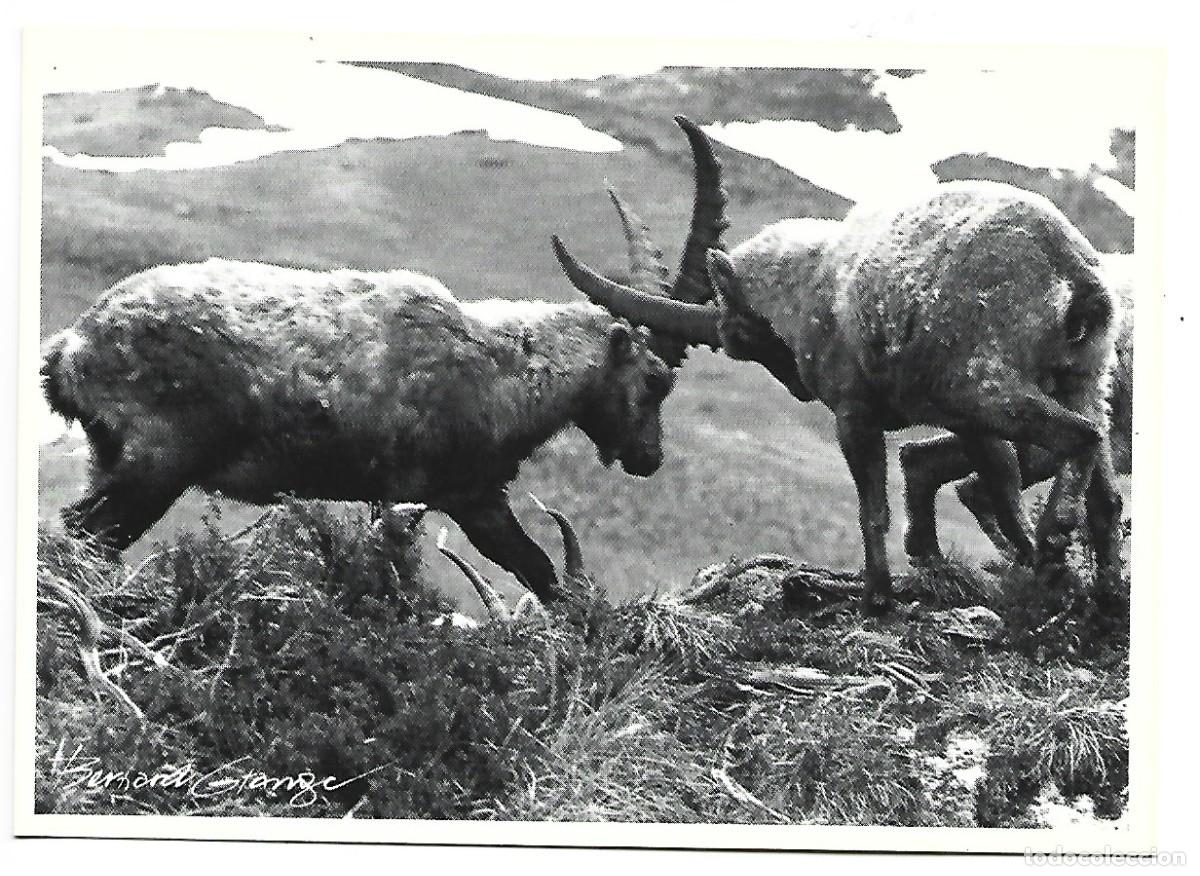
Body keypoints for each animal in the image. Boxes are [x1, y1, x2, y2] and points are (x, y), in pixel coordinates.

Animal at [41, 259, 678, 602]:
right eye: (656, 379)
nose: (649, 458)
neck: (500, 371)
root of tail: (71, 347)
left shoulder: (467, 497)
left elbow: (537, 568)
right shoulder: (427, 495)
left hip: (115, 459)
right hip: (156, 465)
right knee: (86, 531)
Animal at [552, 116, 1122, 614]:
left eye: (735, 336)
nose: (797, 385)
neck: (809, 279)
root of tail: (1073, 275)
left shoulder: (856, 410)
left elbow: (874, 507)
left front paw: (878, 598)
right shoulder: (966, 422)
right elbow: (1001, 478)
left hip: (986, 382)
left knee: (1082, 436)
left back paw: (1054, 544)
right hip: (1085, 377)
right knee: (1106, 489)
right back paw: (1105, 596)